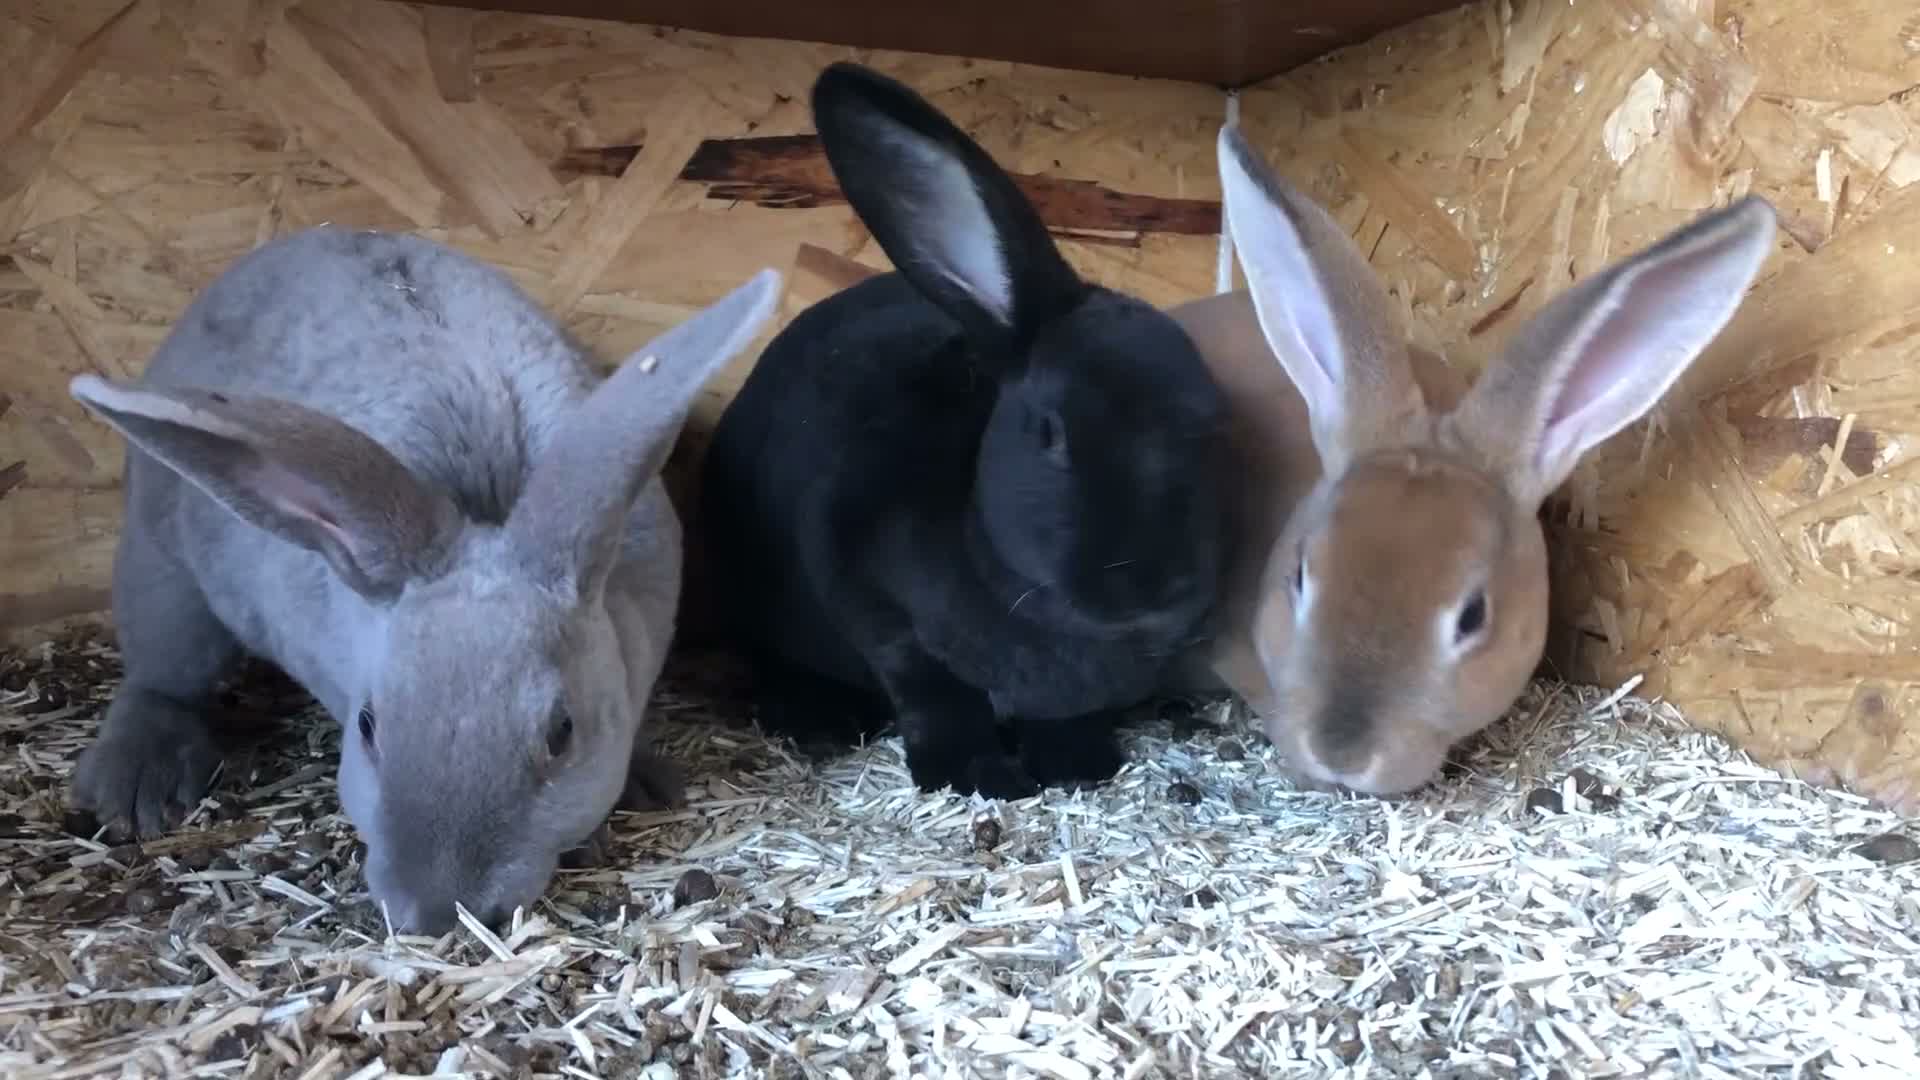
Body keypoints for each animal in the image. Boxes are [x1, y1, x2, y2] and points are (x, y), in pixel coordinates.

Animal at [65, 224, 781, 934]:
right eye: (367, 726)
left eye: (563, 732)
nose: (436, 913)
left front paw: (643, 782)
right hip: (166, 580)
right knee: (163, 679)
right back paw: (135, 789)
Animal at [699, 61, 1232, 800]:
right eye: (1050, 433)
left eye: (1216, 424)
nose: (1159, 585)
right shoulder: (875, 605)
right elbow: (934, 696)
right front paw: (977, 775)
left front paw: (1077, 764)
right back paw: (817, 720)